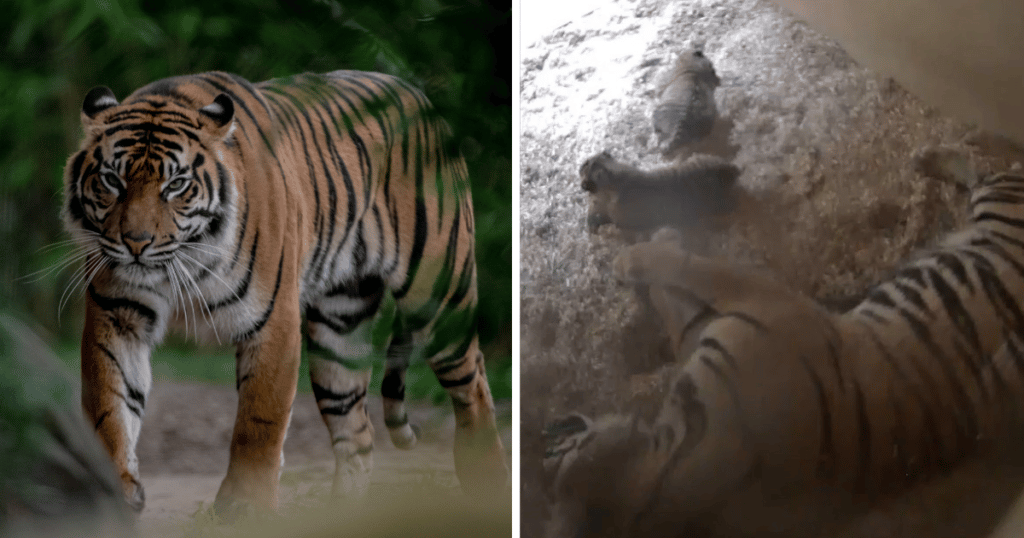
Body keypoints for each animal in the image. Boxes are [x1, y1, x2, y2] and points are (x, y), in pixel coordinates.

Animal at [62, 69, 507, 514]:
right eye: (112, 180)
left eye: (175, 185)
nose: (136, 243)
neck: (184, 259)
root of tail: (421, 97)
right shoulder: (117, 313)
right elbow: (109, 402)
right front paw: (117, 489)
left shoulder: (273, 319)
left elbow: (260, 419)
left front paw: (245, 503)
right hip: (339, 328)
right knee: (357, 431)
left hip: (439, 295)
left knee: (473, 385)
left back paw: (487, 481)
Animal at [548, 151, 1024, 536]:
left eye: (556, 449)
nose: (549, 426)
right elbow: (673, 296)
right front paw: (655, 246)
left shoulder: (761, 299)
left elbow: (682, 267)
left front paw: (640, 252)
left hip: (1001, 201)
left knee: (987, 167)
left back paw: (927, 156)